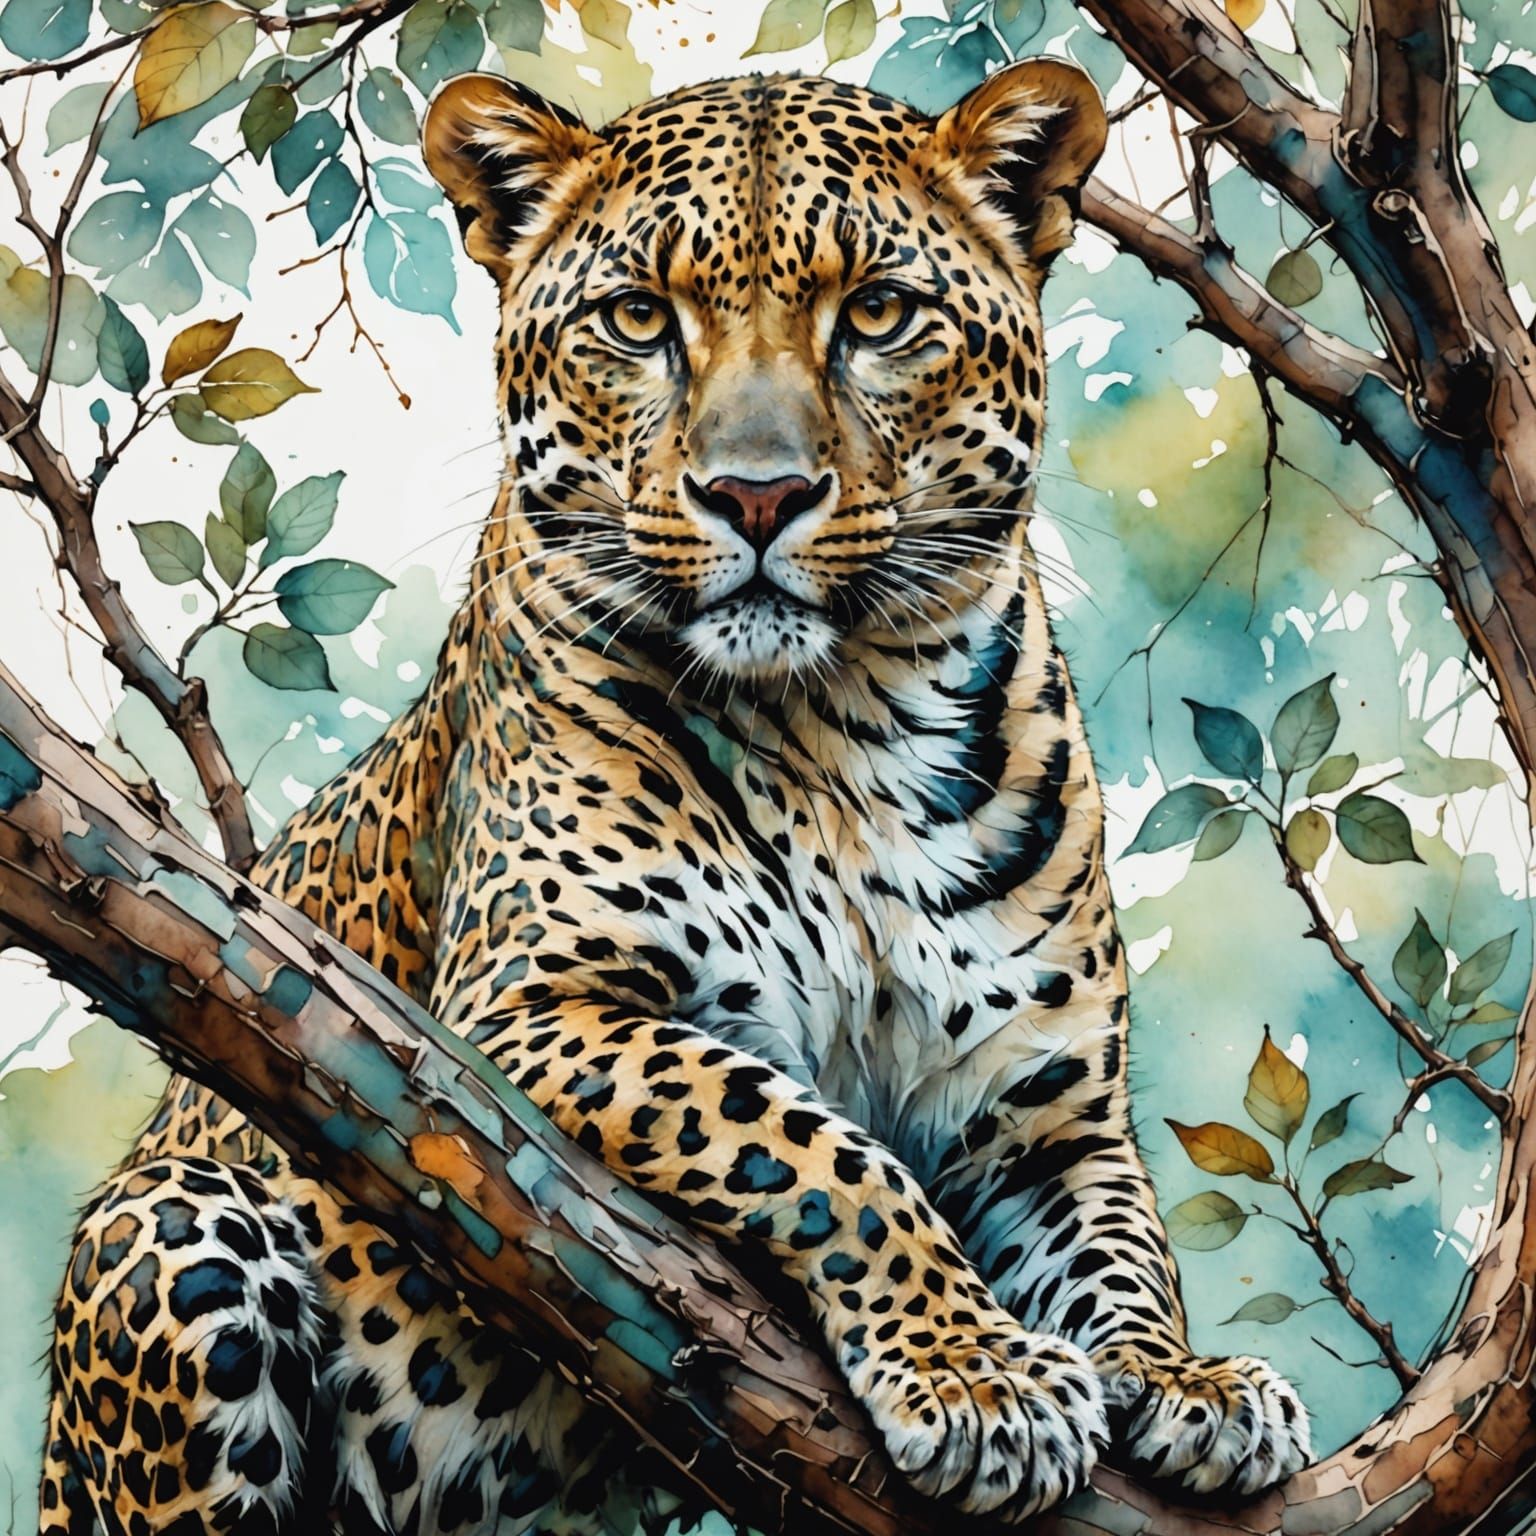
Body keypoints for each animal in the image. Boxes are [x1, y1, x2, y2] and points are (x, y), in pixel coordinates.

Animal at [38, 60, 1311, 1536]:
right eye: (639, 318)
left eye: (878, 312)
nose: (757, 495)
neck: (846, 725)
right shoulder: (522, 1015)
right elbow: (810, 1145)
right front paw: (973, 1374)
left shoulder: (1044, 1107)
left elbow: (1122, 1245)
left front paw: (1187, 1381)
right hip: (171, 1225)